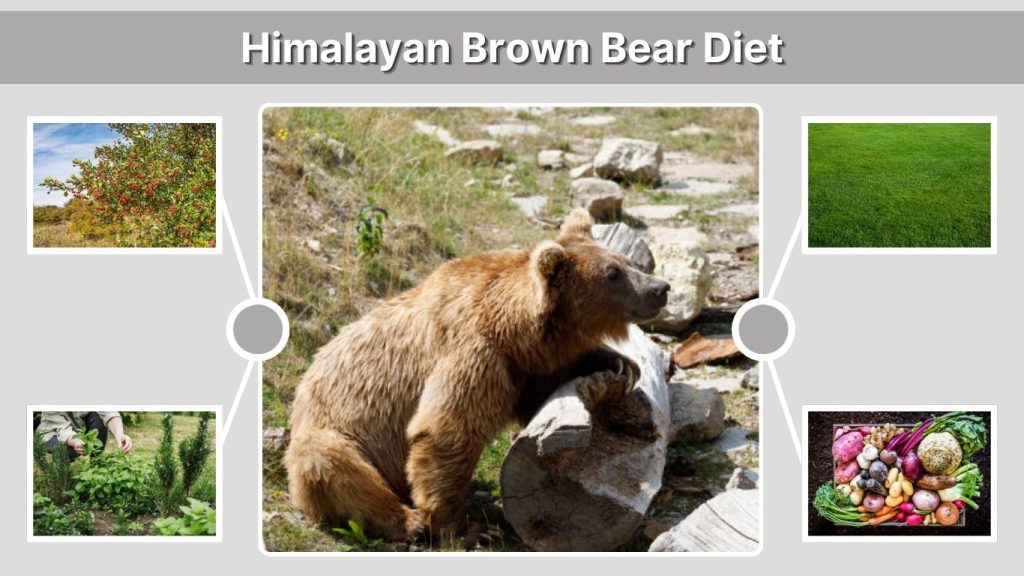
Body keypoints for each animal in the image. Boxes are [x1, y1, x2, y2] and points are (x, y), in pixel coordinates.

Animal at [284, 208, 670, 542]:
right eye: (612, 273)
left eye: (625, 262)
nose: (660, 288)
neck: (512, 328)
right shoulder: (474, 352)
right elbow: (448, 430)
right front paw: (466, 529)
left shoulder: (520, 367)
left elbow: (541, 390)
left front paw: (619, 363)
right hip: (334, 434)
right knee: (332, 465)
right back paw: (408, 522)